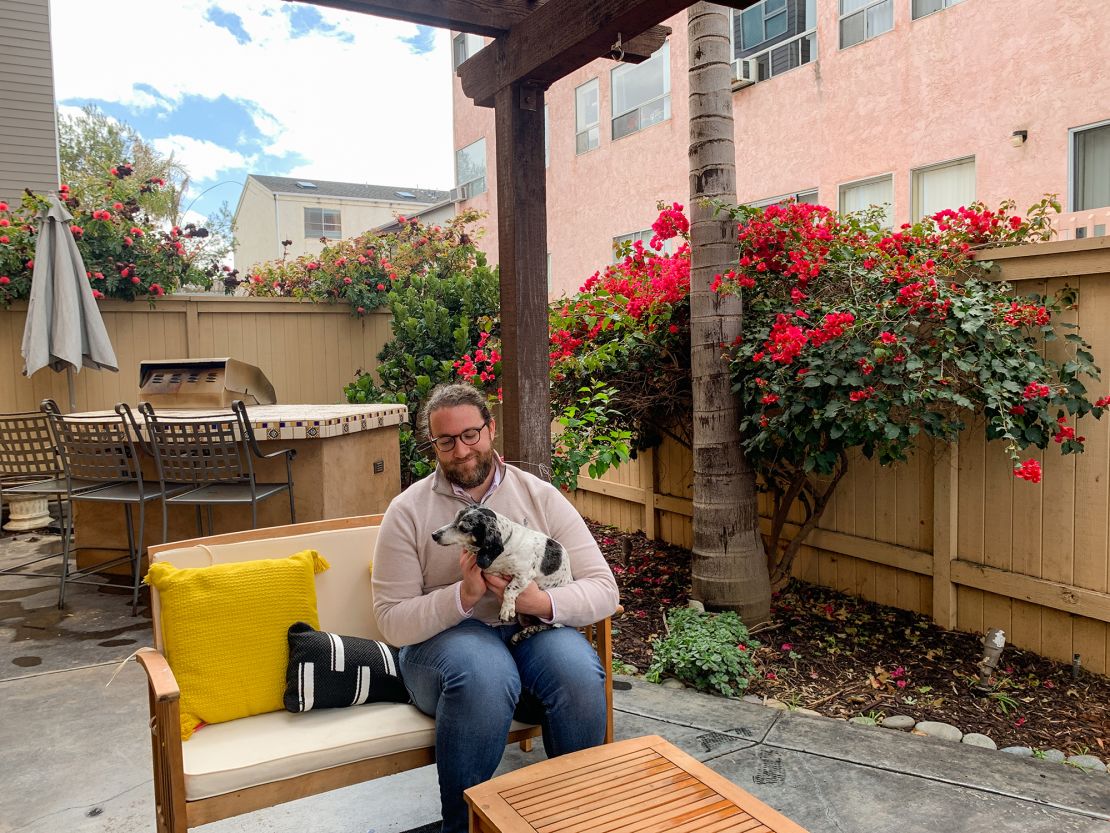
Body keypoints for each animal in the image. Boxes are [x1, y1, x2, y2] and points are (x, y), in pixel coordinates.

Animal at [430, 506, 572, 635]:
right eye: (455, 519)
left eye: (463, 528)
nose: (434, 535)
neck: (508, 544)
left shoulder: (524, 575)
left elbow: (509, 589)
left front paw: (506, 609)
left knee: (552, 625)